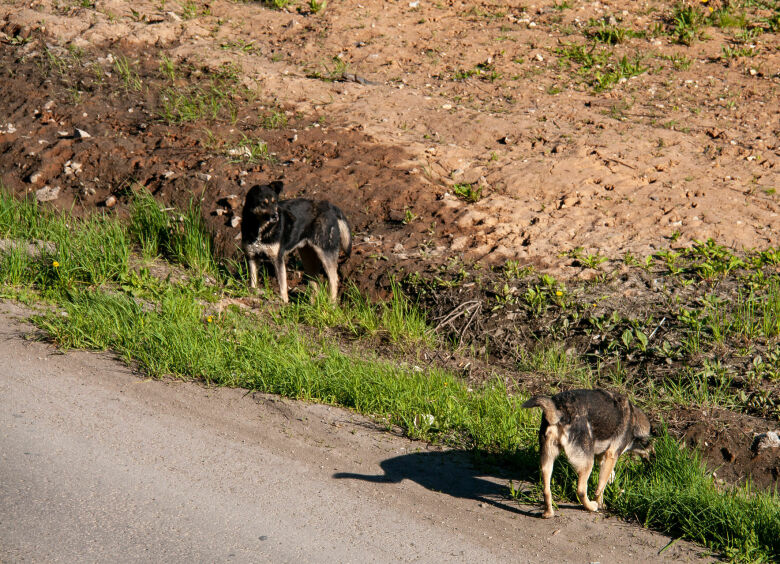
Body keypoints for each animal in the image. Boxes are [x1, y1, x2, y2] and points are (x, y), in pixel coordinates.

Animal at [524, 390, 652, 516]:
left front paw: (612, 481)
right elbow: (600, 488)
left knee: (546, 490)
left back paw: (548, 513)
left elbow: (608, 476)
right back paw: (591, 506)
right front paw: (601, 504)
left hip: (547, 460)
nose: (652, 461)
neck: (634, 420)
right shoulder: (611, 455)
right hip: (587, 463)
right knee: (581, 490)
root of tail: (559, 411)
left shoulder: (602, 456)